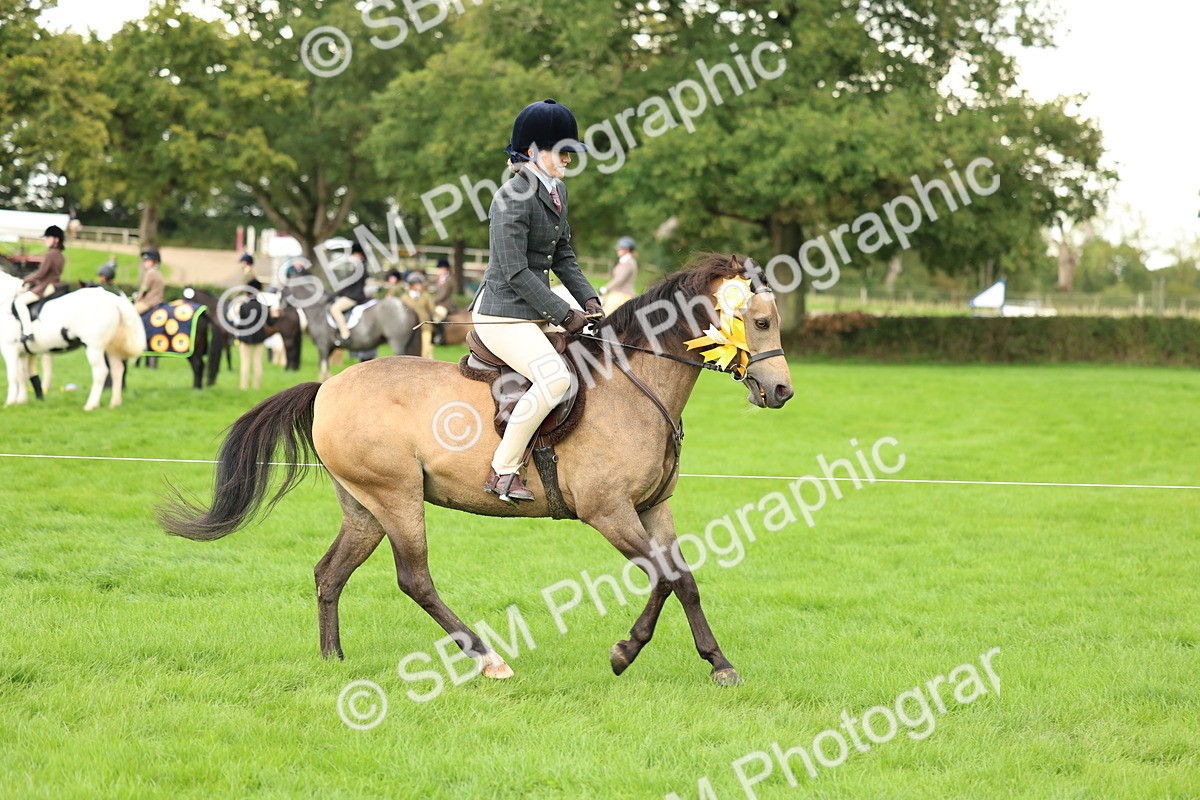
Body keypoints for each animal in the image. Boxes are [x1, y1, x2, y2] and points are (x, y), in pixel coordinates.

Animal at [1, 272, 146, 410]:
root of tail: (112, 299)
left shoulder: (9, 349)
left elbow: (13, 376)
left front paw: (9, 403)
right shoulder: (23, 353)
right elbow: (22, 375)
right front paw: (21, 401)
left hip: (94, 348)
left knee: (101, 372)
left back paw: (91, 405)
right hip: (110, 348)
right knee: (117, 370)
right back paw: (114, 403)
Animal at [159, 254, 794, 686]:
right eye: (760, 322)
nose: (782, 391)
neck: (634, 383)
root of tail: (328, 387)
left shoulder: (651, 508)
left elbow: (683, 579)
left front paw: (718, 664)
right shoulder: (609, 512)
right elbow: (663, 578)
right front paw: (624, 652)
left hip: (364, 507)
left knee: (329, 574)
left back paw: (332, 659)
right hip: (396, 498)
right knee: (414, 579)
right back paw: (488, 659)